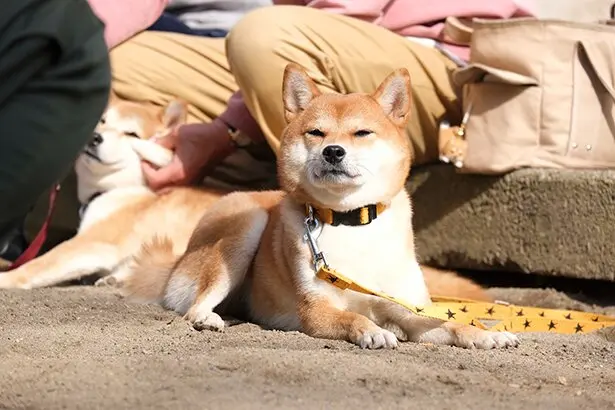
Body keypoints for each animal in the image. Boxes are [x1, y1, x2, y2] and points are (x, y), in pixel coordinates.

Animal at [0, 98, 224, 288]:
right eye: (102, 121)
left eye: (132, 134)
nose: (94, 137)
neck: (120, 188)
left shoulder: (95, 242)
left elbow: (37, 264)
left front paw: (6, 278)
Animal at [119, 63, 516, 350]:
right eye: (316, 133)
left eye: (362, 133)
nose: (333, 151)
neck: (349, 221)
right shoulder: (315, 309)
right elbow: (352, 318)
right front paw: (372, 331)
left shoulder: (402, 306)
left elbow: (449, 323)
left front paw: (486, 334)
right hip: (246, 227)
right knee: (195, 304)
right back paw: (209, 318)